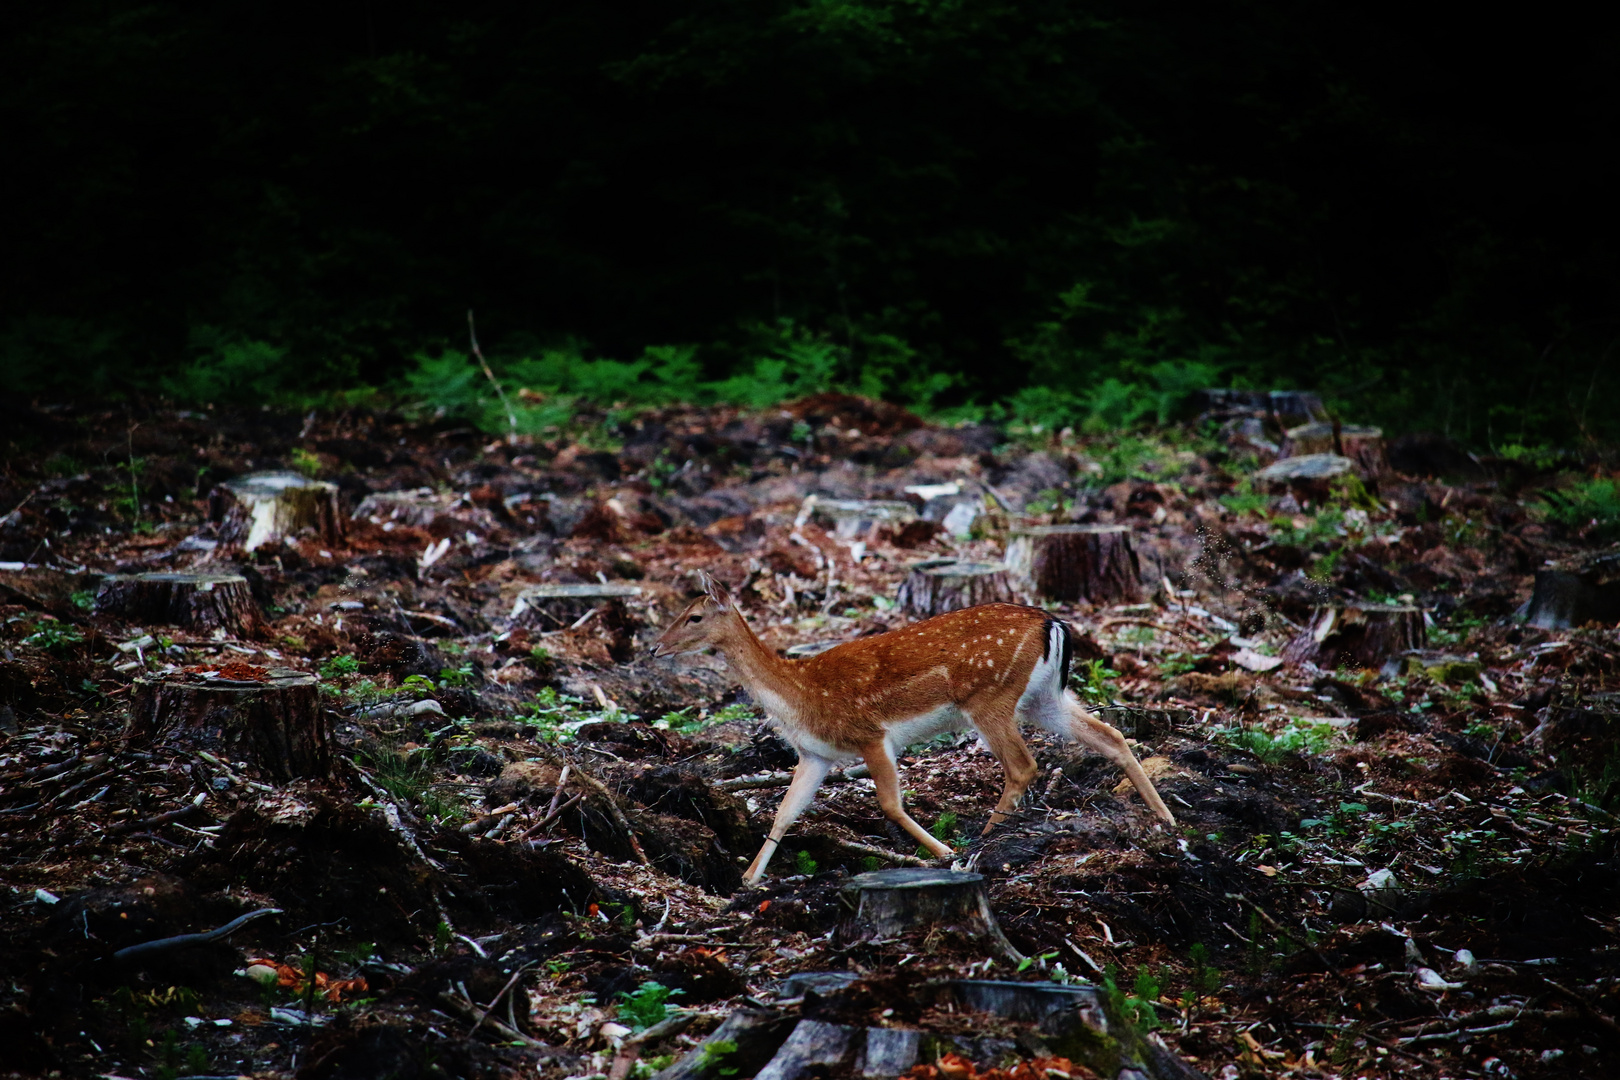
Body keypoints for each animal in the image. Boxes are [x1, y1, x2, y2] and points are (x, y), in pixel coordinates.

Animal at [651, 573, 1172, 887]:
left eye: (693, 616)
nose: (655, 647)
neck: (799, 696)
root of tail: (1053, 622)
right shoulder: (816, 754)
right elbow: (785, 812)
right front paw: (748, 879)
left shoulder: (870, 733)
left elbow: (888, 803)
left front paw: (941, 851)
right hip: (1044, 698)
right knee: (1111, 736)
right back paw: (1166, 819)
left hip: (989, 697)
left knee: (1024, 765)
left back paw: (978, 843)